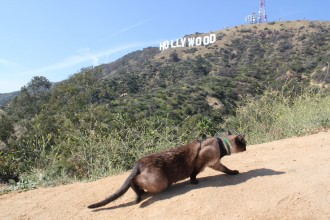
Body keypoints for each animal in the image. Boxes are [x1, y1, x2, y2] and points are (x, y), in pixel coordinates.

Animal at [86, 131, 246, 209]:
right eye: (244, 143)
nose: (246, 148)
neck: (221, 143)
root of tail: (139, 162)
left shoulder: (211, 164)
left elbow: (220, 170)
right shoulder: (208, 162)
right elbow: (197, 174)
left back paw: (140, 193)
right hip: (160, 182)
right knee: (132, 180)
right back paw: (138, 195)